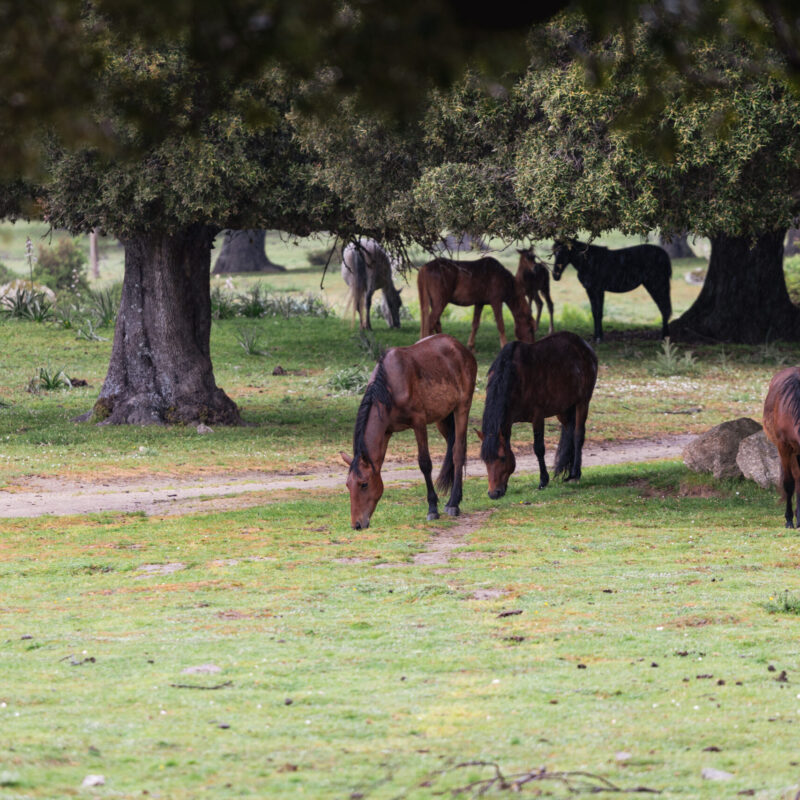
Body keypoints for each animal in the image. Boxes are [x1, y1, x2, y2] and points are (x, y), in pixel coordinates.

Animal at [342, 332, 476, 528]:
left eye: (364, 484)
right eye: (347, 485)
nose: (357, 524)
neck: (390, 387)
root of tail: (461, 348)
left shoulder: (419, 422)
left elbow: (425, 463)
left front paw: (432, 508)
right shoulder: (386, 432)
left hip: (462, 407)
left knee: (458, 451)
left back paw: (453, 503)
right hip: (443, 417)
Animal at [478, 328, 596, 496]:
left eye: (502, 458)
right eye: (485, 460)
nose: (494, 493)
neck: (514, 376)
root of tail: (583, 345)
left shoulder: (538, 416)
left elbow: (539, 448)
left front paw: (543, 480)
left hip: (582, 402)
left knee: (578, 435)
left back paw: (575, 473)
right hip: (563, 409)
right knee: (570, 431)